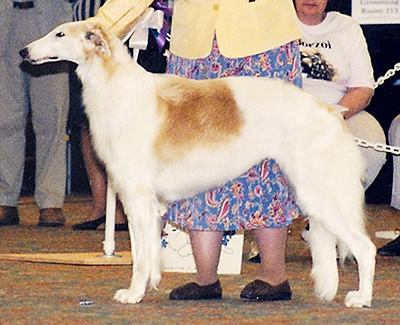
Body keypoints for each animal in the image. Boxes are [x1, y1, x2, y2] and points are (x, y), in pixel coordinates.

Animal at [18, 22, 376, 306]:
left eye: (60, 33)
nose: (23, 51)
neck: (115, 85)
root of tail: (332, 112)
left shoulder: (137, 197)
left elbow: (139, 258)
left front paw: (133, 294)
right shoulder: (141, 202)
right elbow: (148, 253)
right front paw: (150, 285)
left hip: (320, 194)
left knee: (366, 248)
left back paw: (361, 299)